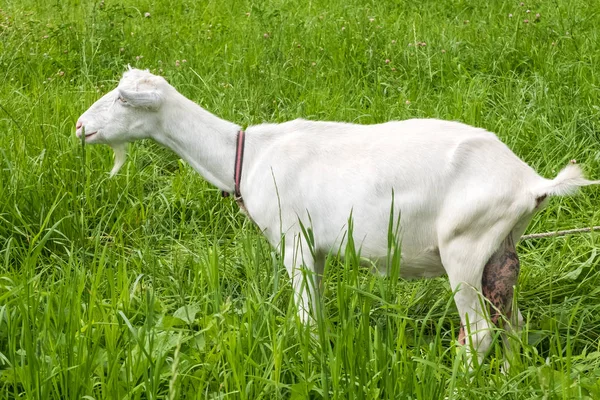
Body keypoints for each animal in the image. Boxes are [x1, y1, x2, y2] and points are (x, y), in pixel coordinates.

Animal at [77, 69, 596, 360]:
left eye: (121, 98)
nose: (81, 127)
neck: (247, 155)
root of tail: (530, 181)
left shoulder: (292, 239)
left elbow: (306, 317)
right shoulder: (319, 248)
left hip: (463, 247)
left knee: (481, 331)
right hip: (500, 248)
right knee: (514, 323)